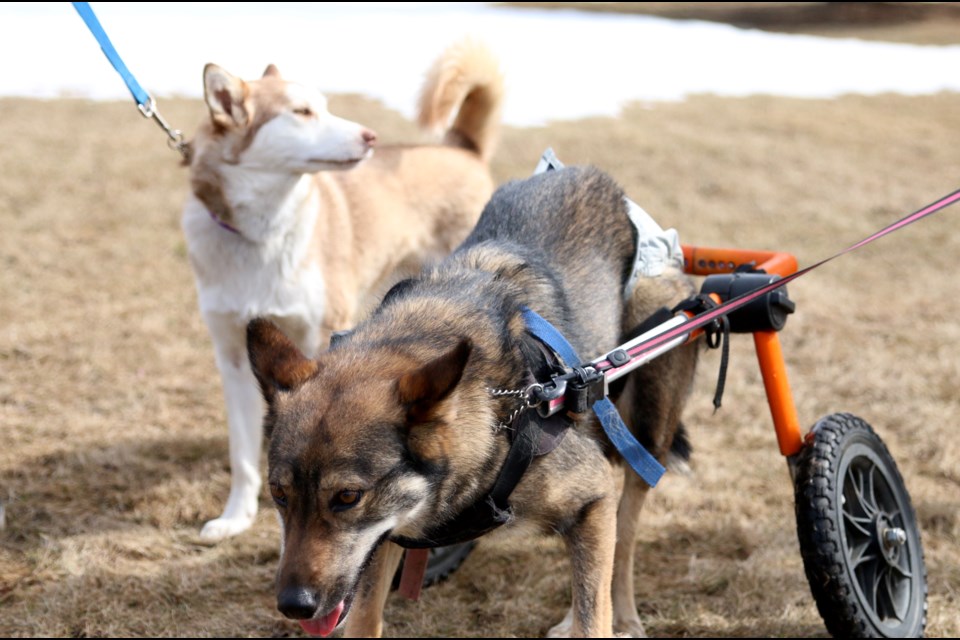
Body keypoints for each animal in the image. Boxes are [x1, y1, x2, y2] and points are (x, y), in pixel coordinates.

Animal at [183, 38, 506, 540]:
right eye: (301, 112)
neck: (261, 235)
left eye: (326, 105)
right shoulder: (232, 356)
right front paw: (235, 517)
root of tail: (461, 148)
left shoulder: (321, 336)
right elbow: (242, 454)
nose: (369, 136)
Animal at [246, 164, 696, 636]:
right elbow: (365, 619)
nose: (293, 606)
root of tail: (599, 179)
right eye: (278, 494)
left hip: (646, 434)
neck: (500, 412)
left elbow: (596, 611)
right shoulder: (387, 542)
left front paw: (599, 617)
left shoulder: (594, 492)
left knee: (623, 539)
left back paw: (625, 615)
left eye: (348, 497)